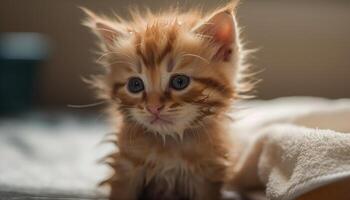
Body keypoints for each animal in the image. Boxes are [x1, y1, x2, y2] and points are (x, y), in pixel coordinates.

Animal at [82, 0, 252, 199]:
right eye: (135, 85)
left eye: (180, 82)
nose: (153, 107)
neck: (169, 145)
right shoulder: (124, 167)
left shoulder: (209, 173)